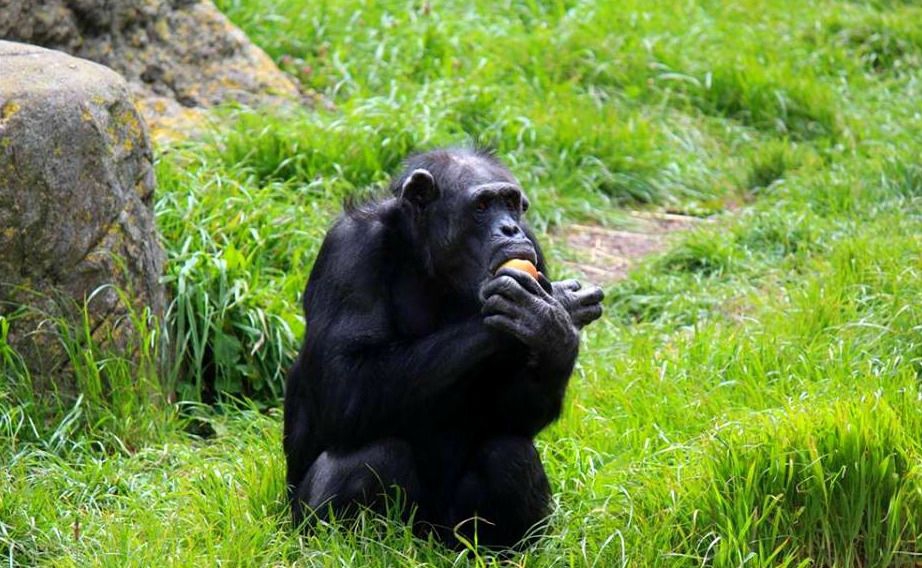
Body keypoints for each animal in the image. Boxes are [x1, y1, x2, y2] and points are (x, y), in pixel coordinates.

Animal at [284, 149, 608, 548]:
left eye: (510, 203)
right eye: (482, 205)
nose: (510, 229)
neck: (428, 260)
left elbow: (515, 416)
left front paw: (551, 325)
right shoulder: (348, 250)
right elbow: (344, 383)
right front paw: (552, 306)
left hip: (454, 531)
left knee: (509, 452)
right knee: (367, 457)